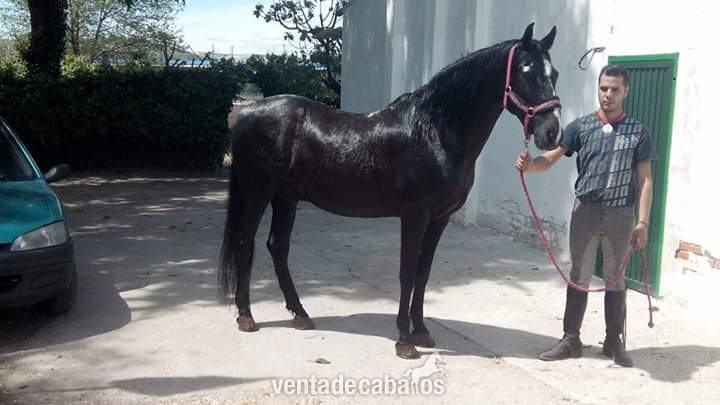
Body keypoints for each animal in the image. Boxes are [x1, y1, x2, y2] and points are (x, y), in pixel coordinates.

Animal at [220, 23, 562, 359]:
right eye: (526, 71)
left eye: (555, 73)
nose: (552, 132)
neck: (434, 131)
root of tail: (246, 113)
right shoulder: (414, 216)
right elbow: (407, 272)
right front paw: (404, 340)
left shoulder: (439, 219)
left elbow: (424, 273)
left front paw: (421, 331)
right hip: (257, 195)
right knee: (246, 244)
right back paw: (246, 316)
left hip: (286, 198)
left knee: (277, 247)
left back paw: (301, 314)